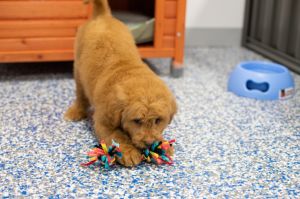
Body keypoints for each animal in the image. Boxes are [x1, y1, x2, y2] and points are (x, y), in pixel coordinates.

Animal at [63, 0, 176, 167]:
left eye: (158, 120)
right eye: (137, 121)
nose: (150, 144)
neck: (129, 71)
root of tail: (102, 15)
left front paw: (163, 145)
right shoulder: (104, 122)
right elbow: (116, 135)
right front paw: (128, 152)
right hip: (77, 69)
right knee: (80, 94)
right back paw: (75, 111)